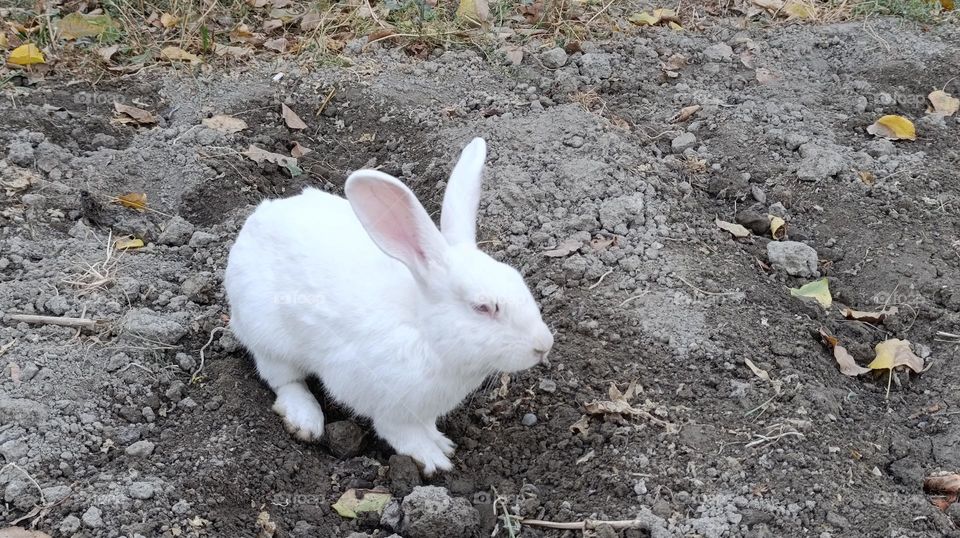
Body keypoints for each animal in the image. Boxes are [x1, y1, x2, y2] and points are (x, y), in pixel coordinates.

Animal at [224, 137, 554, 474]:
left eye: (518, 280)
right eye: (483, 307)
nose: (544, 345)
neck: (425, 332)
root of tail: (253, 225)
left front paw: (441, 442)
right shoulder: (386, 403)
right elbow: (400, 433)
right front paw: (433, 458)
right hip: (269, 336)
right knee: (283, 379)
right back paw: (305, 420)